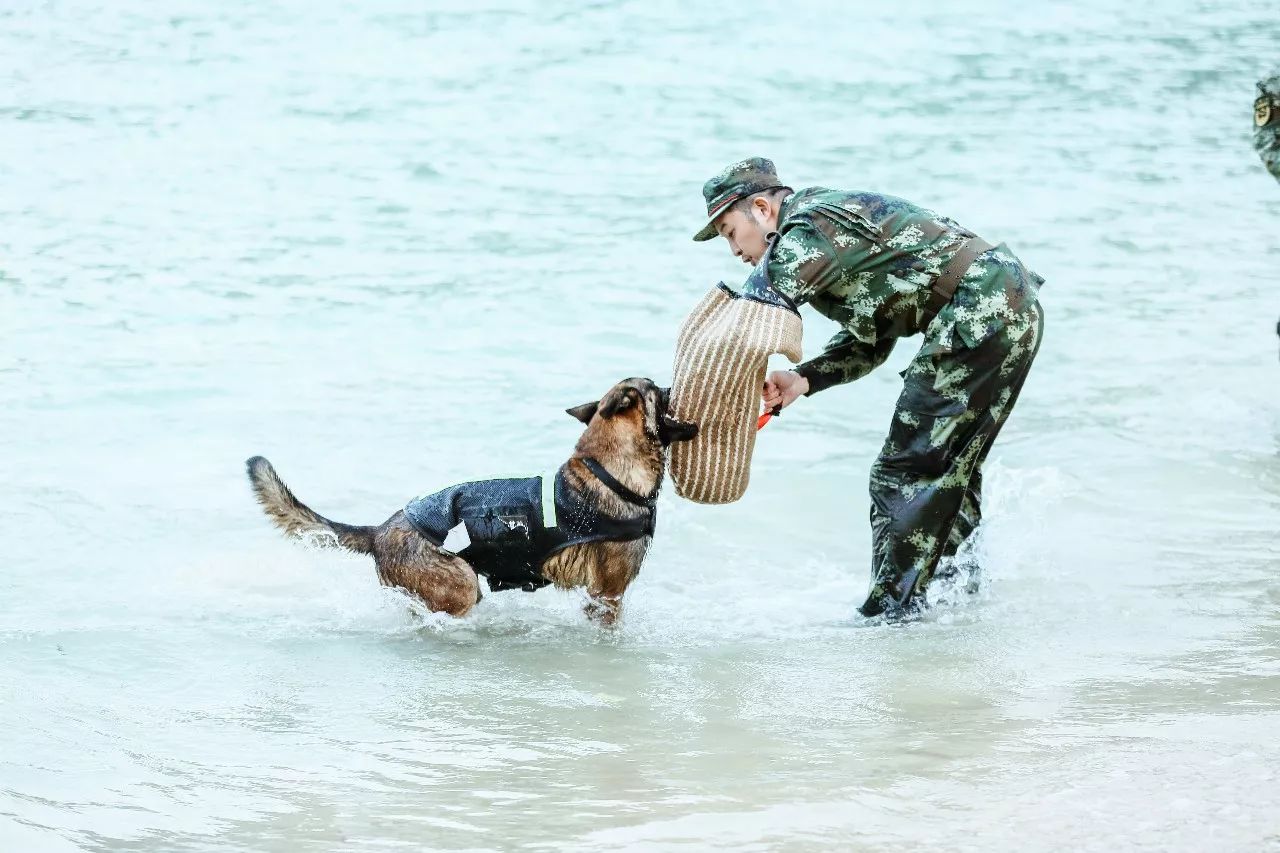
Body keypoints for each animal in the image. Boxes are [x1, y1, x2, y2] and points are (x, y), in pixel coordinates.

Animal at [244, 379, 696, 625]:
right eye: (658, 389)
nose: (677, 385)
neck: (611, 470)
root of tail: (380, 531)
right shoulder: (607, 595)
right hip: (461, 583)